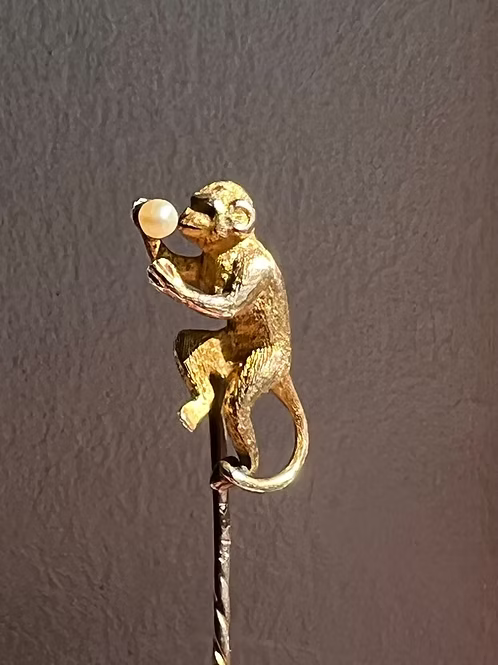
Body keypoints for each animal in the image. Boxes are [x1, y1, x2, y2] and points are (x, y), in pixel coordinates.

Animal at [133, 181, 308, 493]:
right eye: (193, 202)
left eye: (207, 209)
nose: (185, 214)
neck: (232, 247)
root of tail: (284, 373)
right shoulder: (207, 261)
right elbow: (188, 270)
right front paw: (142, 217)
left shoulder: (255, 269)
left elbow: (226, 305)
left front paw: (169, 281)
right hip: (228, 352)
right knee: (187, 343)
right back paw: (198, 406)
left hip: (267, 364)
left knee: (235, 405)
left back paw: (240, 470)